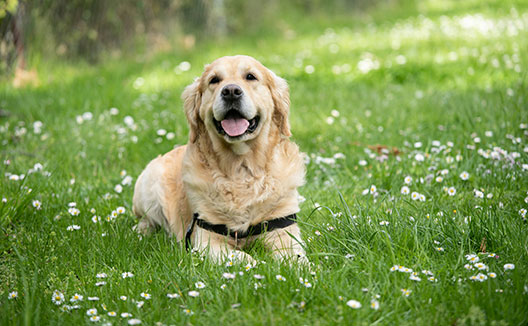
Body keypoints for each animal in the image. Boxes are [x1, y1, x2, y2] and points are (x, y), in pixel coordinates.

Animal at [131, 54, 306, 262]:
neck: (241, 169)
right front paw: (259, 264)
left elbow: (296, 258)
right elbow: (244, 258)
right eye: (214, 80)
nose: (231, 91)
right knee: (146, 221)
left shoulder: (283, 230)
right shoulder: (206, 240)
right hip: (149, 183)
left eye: (251, 76)